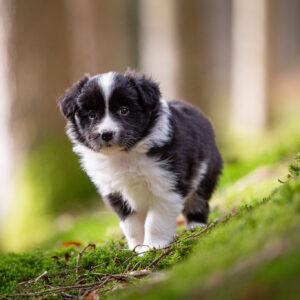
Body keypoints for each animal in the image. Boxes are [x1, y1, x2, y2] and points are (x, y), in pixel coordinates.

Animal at [59, 71, 223, 253]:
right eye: (91, 114)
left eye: (124, 110)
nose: (106, 134)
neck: (124, 154)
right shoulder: (115, 193)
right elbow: (131, 225)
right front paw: (138, 248)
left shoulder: (166, 184)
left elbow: (155, 221)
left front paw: (153, 246)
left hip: (205, 172)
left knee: (198, 202)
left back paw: (195, 227)